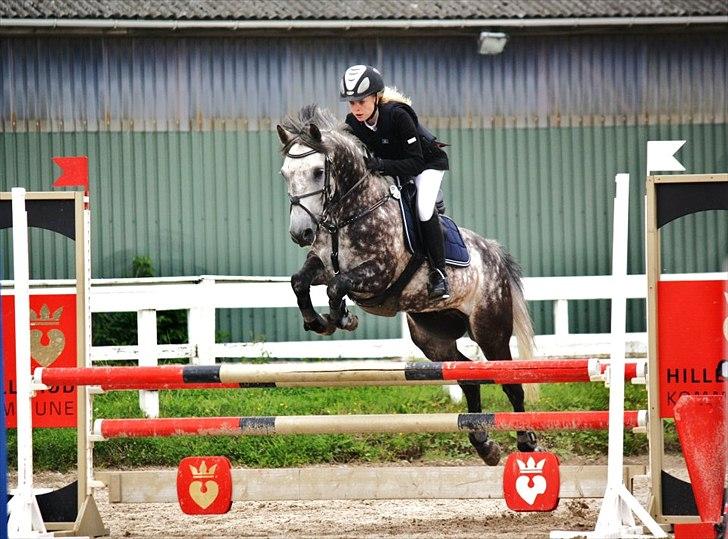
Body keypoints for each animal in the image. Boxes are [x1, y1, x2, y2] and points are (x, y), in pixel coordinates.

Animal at [276, 105, 540, 465]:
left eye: (318, 172)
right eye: (285, 173)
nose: (300, 233)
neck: (350, 213)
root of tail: (494, 253)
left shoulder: (378, 274)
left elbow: (337, 287)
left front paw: (343, 317)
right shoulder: (322, 265)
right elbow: (300, 281)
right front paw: (318, 322)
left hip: (490, 329)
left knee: (510, 381)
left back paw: (526, 441)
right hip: (432, 335)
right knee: (467, 375)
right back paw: (484, 443)